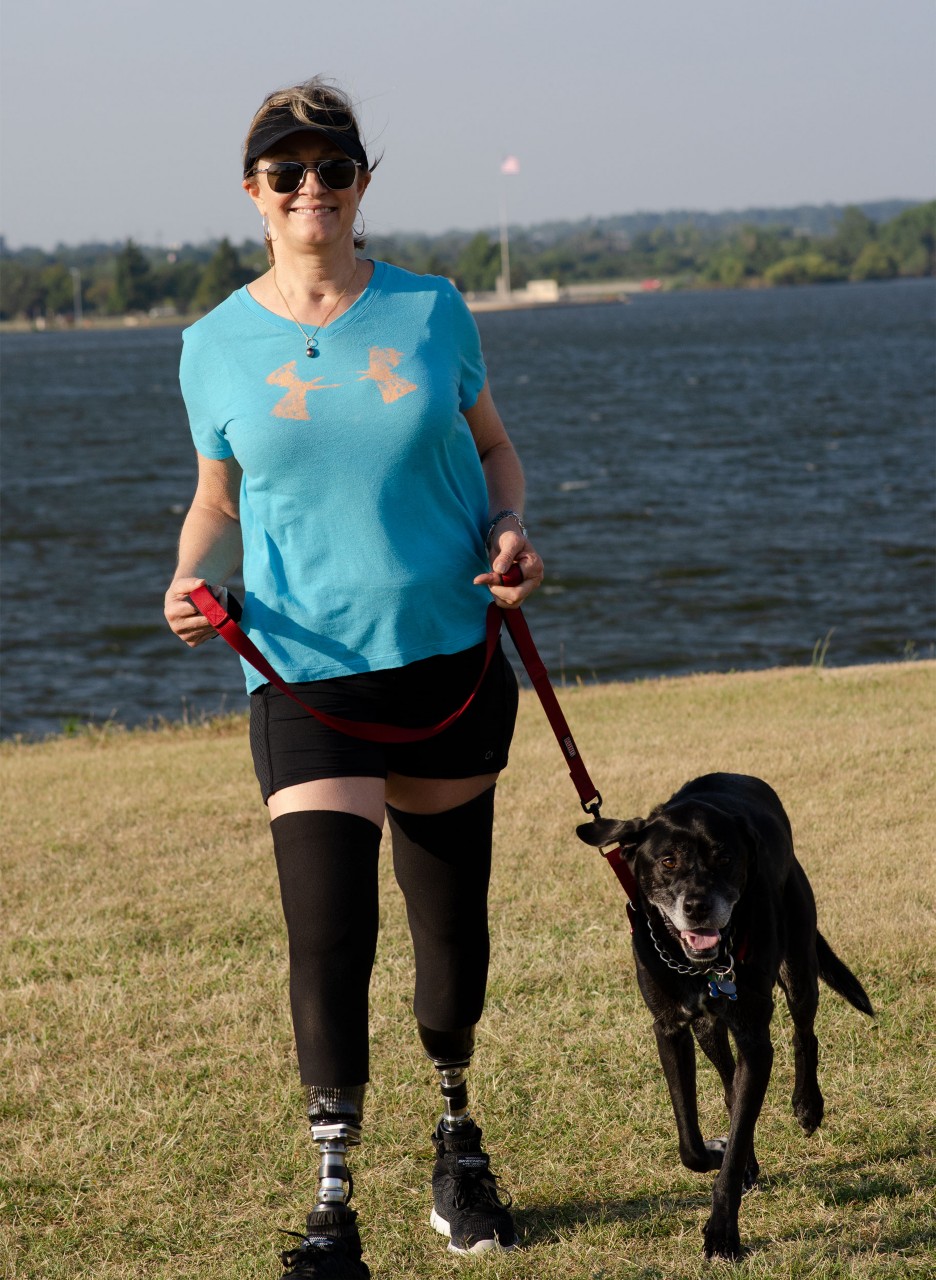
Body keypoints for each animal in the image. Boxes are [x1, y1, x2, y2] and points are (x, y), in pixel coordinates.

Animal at [573, 768, 875, 1259]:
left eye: (725, 858)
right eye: (668, 861)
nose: (697, 906)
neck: (702, 966)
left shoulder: (754, 1037)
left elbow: (731, 1152)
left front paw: (722, 1233)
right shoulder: (671, 1030)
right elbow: (691, 1141)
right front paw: (718, 1151)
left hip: (798, 966)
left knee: (803, 1033)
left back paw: (807, 1106)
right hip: (709, 1028)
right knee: (731, 1083)